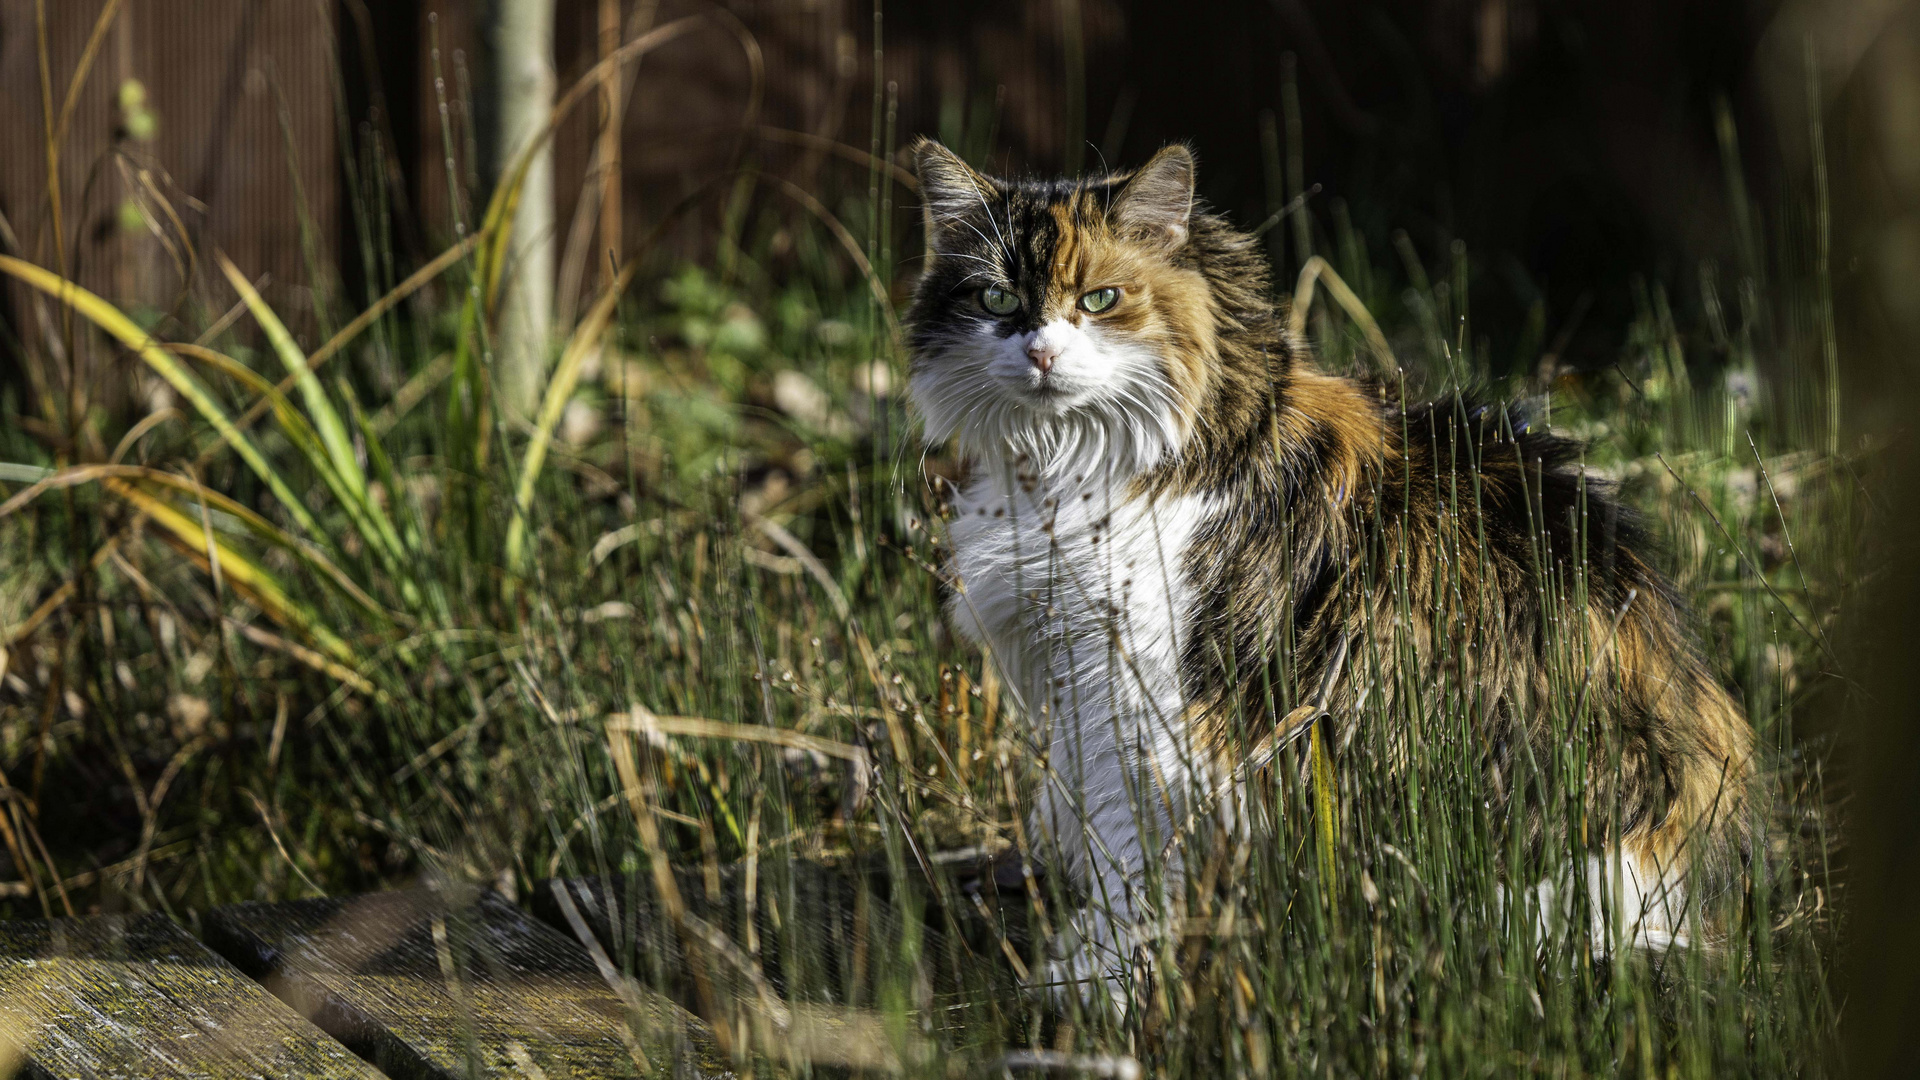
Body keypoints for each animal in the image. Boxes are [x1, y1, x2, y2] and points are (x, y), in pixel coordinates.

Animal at [906, 141, 1751, 999]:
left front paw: (1100, 978)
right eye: (997, 296)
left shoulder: (1143, 695)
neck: (1071, 467)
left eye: (1100, 298)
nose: (1041, 352)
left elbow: (1135, 855)